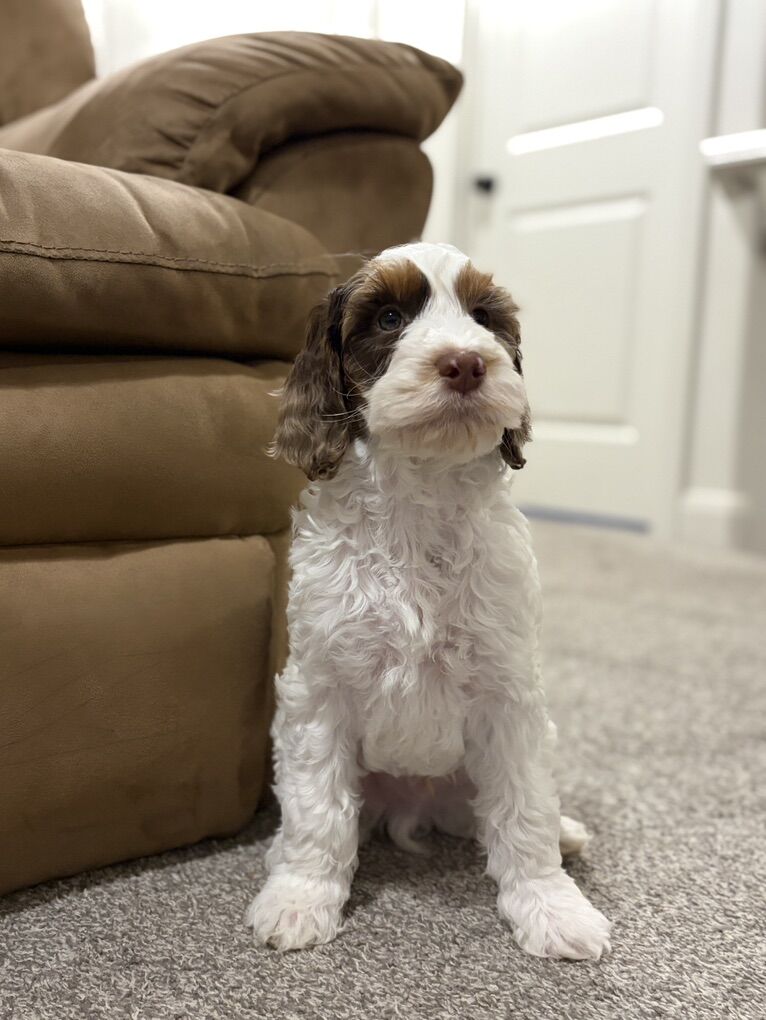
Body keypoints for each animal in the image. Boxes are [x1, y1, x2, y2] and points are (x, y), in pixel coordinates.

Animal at [245, 242, 612, 959]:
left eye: (483, 317)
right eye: (389, 317)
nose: (466, 363)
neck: (420, 499)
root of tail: (414, 801)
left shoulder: (509, 694)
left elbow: (525, 810)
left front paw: (552, 909)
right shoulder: (319, 688)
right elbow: (316, 809)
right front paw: (300, 898)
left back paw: (566, 832)